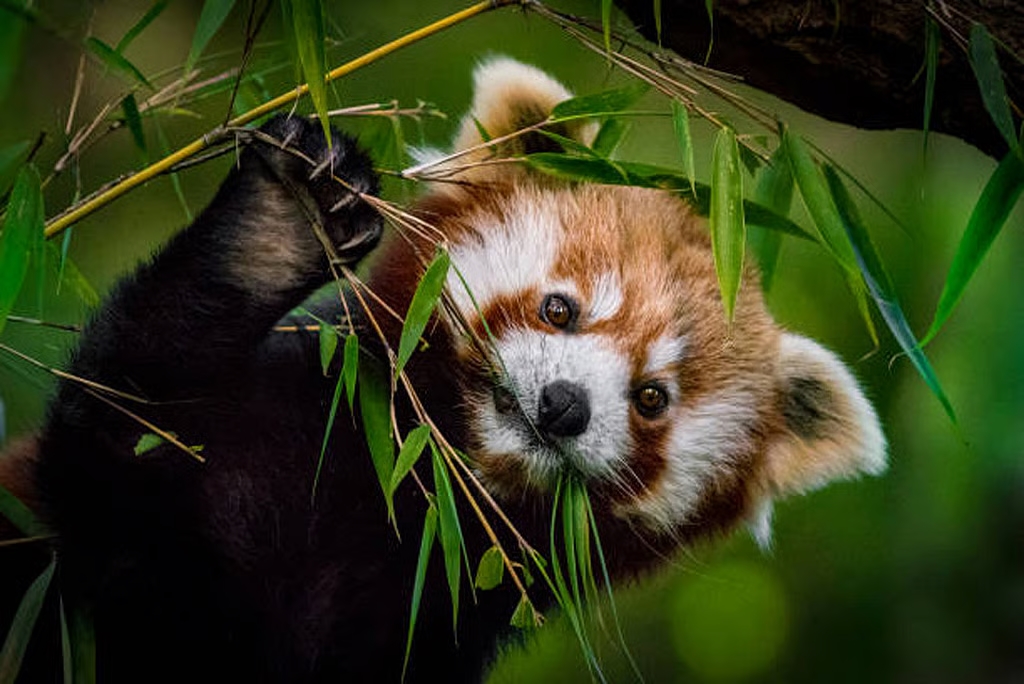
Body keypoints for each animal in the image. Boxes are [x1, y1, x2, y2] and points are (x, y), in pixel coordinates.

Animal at [0, 58, 885, 683]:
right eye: (559, 309)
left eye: (651, 398)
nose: (563, 405)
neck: (408, 490)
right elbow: (115, 436)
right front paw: (279, 226)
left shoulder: (432, 617)